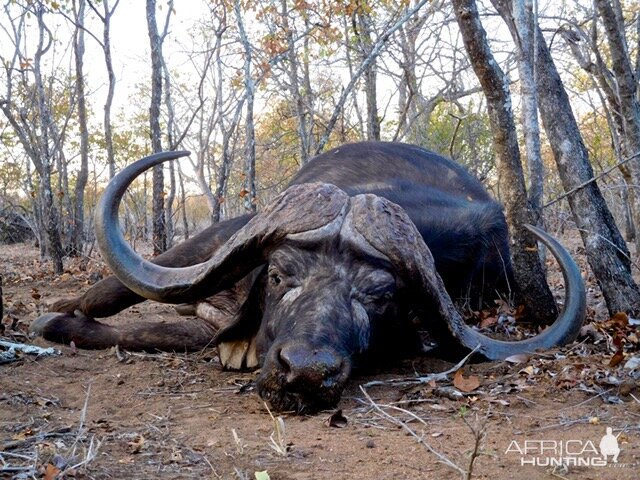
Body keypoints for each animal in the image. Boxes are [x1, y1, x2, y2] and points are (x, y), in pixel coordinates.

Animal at [32, 142, 588, 412]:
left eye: (380, 297)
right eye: (279, 275)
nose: (305, 371)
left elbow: (154, 331)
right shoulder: (221, 240)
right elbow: (111, 294)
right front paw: (52, 317)